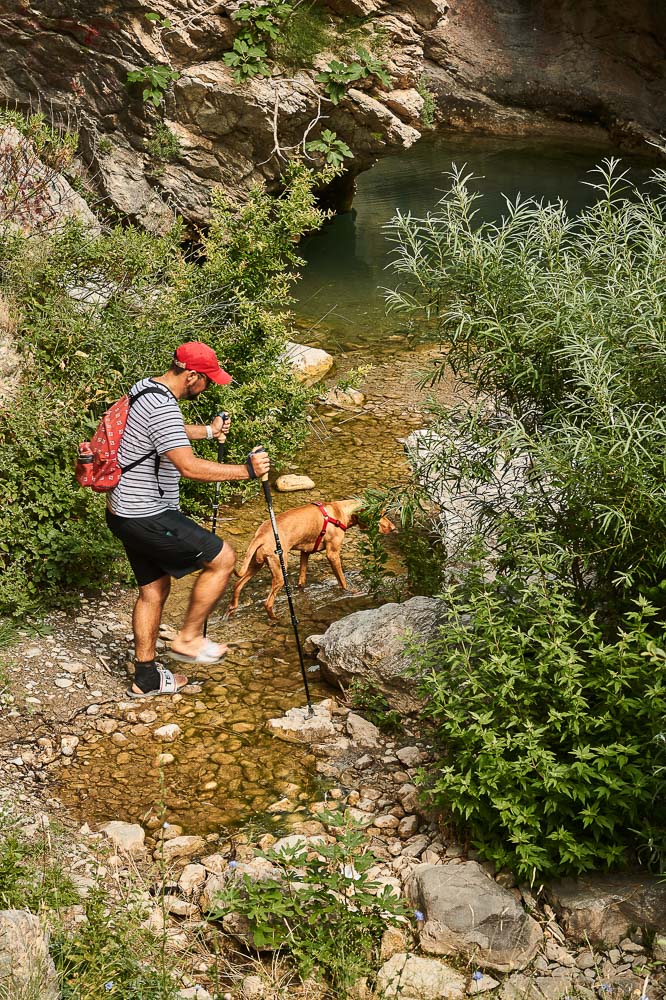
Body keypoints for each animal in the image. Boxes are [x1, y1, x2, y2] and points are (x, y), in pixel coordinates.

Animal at [228, 498, 394, 616]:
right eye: (380, 515)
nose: (393, 528)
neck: (340, 512)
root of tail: (261, 534)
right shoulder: (333, 554)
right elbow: (343, 581)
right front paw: (351, 592)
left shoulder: (305, 553)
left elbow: (302, 580)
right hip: (279, 570)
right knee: (267, 603)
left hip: (256, 563)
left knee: (237, 585)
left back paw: (232, 608)